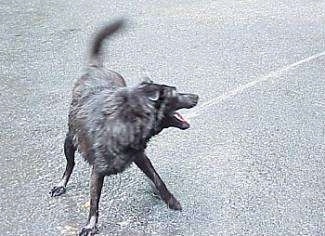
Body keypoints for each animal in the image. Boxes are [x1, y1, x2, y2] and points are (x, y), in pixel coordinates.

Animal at [50, 19, 197, 235]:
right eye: (175, 93)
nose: (196, 96)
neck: (128, 122)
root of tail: (96, 67)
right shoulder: (97, 171)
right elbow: (94, 202)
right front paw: (90, 225)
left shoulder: (140, 157)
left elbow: (157, 179)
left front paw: (171, 201)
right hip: (69, 141)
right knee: (70, 164)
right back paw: (61, 184)